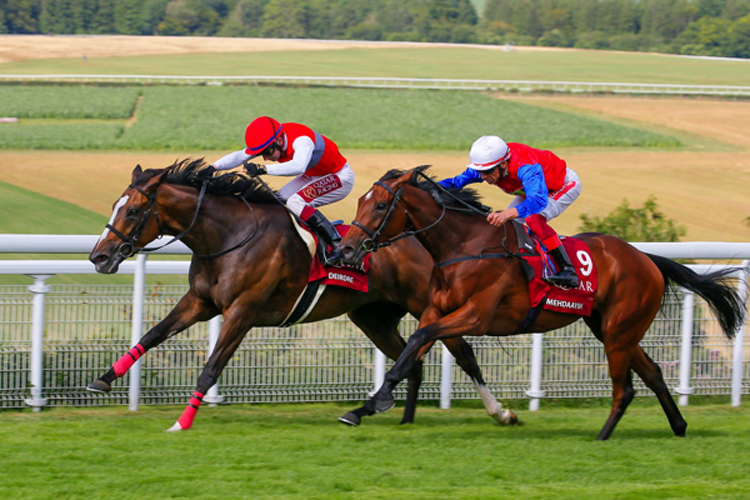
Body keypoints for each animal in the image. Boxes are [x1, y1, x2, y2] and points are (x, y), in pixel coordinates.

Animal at [86, 159, 516, 430]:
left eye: (133, 210)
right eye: (117, 205)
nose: (99, 256)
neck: (229, 235)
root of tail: (420, 235)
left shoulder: (242, 311)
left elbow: (211, 367)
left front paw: (182, 422)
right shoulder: (200, 302)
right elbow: (152, 334)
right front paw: (103, 380)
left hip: (430, 305)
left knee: (462, 352)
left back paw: (501, 413)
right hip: (373, 317)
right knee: (412, 359)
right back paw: (398, 417)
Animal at [340, 167, 748, 438]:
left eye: (380, 205)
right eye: (360, 201)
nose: (346, 249)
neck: (465, 246)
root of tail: (646, 258)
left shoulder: (475, 315)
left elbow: (418, 340)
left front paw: (374, 404)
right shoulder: (435, 309)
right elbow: (414, 348)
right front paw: (364, 407)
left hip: (619, 330)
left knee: (626, 387)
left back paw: (603, 436)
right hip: (611, 329)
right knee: (653, 373)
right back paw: (678, 425)